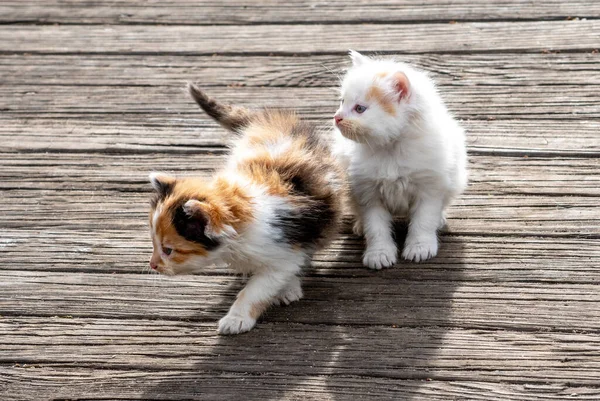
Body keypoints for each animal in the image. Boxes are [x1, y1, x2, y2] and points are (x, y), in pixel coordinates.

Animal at [149, 84, 342, 334]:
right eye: (154, 244)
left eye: (168, 250)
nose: (152, 265)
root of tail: (268, 117)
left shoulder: (284, 251)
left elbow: (256, 290)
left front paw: (237, 318)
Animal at [332, 50, 468, 268]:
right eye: (342, 101)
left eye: (360, 109)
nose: (337, 117)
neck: (391, 148)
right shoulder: (366, 190)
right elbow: (375, 227)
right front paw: (379, 254)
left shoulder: (429, 187)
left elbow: (423, 220)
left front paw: (420, 247)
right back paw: (359, 225)